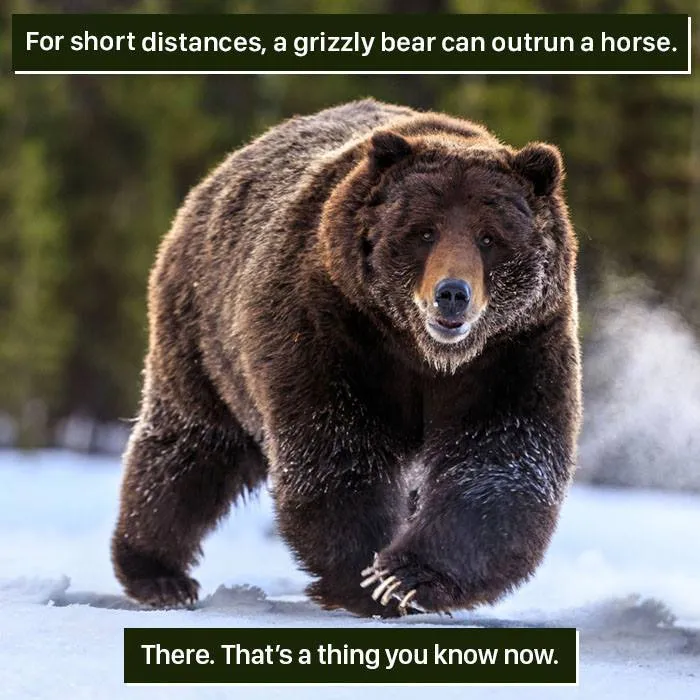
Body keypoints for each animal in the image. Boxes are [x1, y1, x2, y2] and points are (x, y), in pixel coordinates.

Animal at [112, 99, 582, 618]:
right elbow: (337, 449)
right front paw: (365, 575)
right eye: (424, 232)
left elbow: (500, 460)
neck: (426, 355)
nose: (452, 294)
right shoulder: (332, 327)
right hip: (203, 335)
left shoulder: (514, 349)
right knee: (189, 448)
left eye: (489, 237)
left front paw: (404, 577)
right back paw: (159, 573)